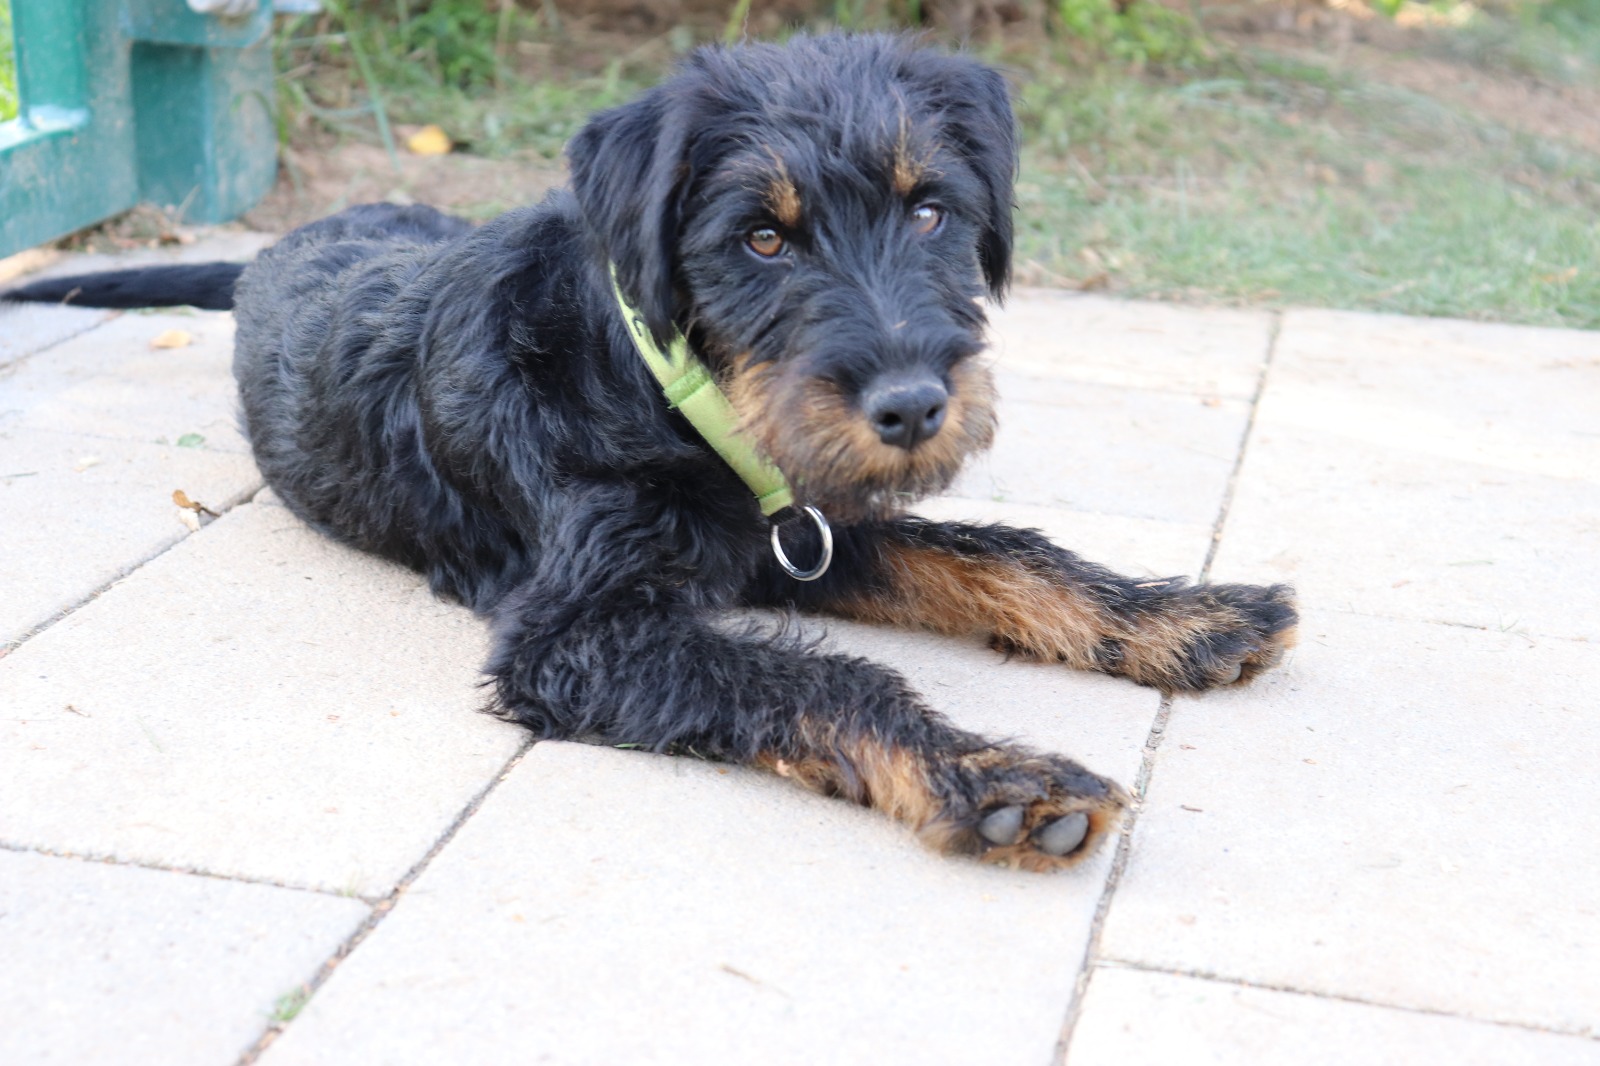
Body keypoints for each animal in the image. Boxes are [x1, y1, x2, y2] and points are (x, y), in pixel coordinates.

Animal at [4, 34, 1296, 871]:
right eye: (762, 238)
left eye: (930, 209)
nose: (913, 405)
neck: (669, 392)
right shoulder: (578, 629)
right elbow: (819, 675)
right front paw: (987, 775)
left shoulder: (803, 525)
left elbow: (991, 549)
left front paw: (1182, 615)